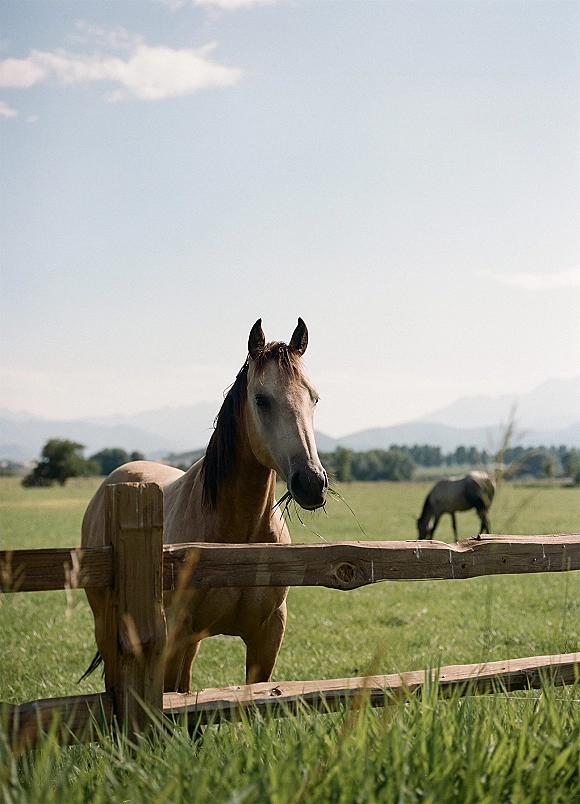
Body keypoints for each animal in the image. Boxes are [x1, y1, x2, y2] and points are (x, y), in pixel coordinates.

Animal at [81, 318, 328, 693]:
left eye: (313, 397)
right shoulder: (173, 637)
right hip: (106, 625)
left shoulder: (265, 637)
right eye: (261, 399)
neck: (237, 541)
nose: (311, 482)